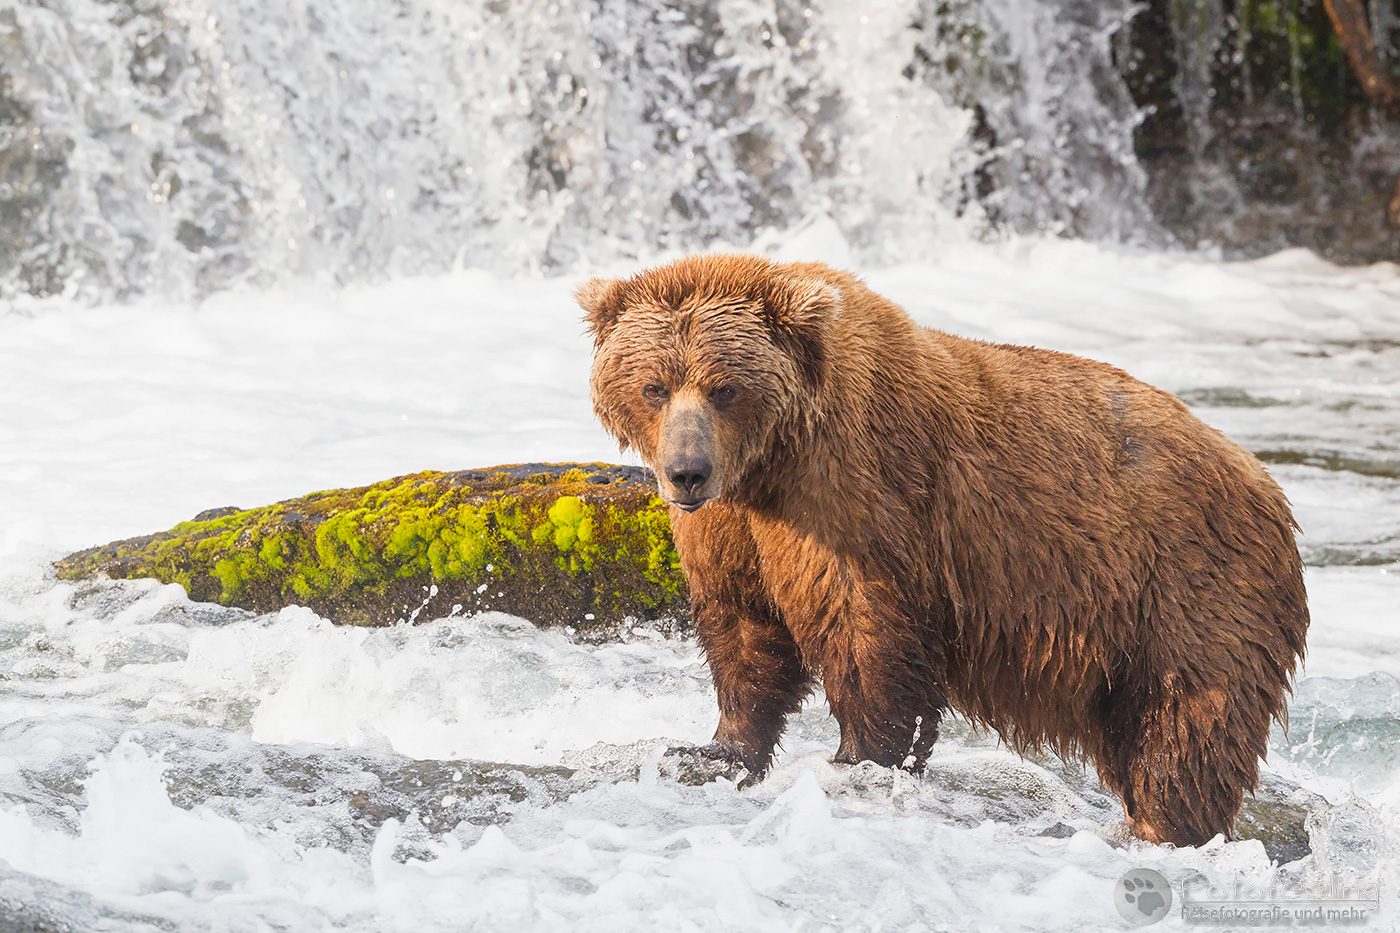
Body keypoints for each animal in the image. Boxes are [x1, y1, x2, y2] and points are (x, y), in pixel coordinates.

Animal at [575, 253, 1309, 847]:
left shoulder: (860, 491)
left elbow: (867, 628)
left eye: (724, 386)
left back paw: (1159, 827)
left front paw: (857, 759)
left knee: (1186, 728)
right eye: (654, 385)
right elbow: (744, 626)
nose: (686, 472)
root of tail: (1267, 485)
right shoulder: (733, 528)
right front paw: (707, 752)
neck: (769, 465)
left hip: (1184, 590)